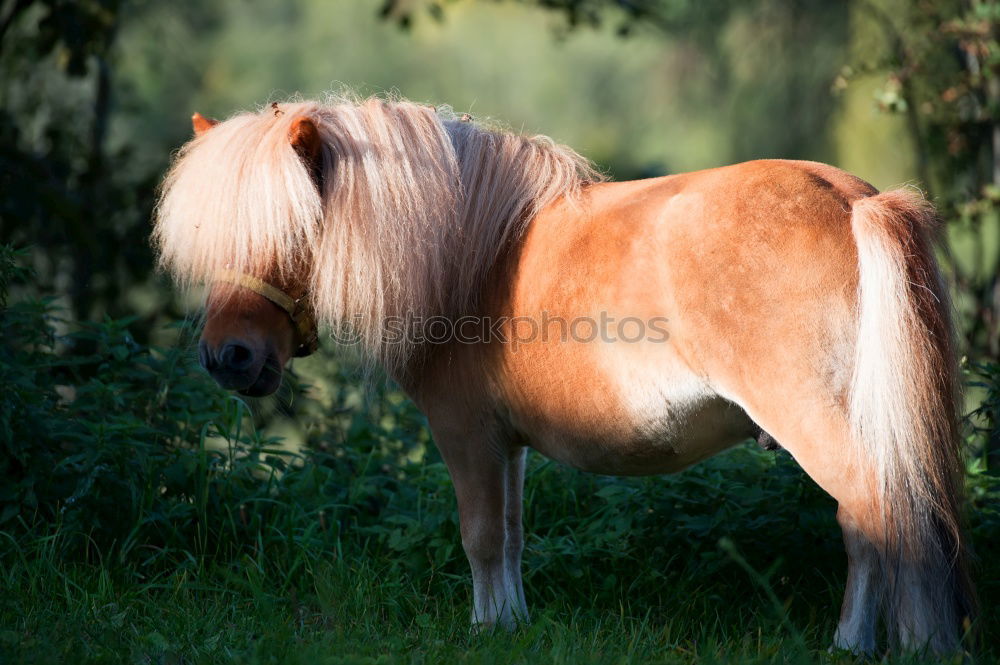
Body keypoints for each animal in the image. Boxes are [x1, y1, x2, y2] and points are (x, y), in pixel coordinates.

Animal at [152, 96, 972, 652]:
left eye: (289, 227)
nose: (228, 358)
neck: (469, 253)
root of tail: (855, 200)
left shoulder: (465, 434)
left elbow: (480, 535)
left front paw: (484, 630)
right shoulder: (505, 444)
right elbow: (512, 535)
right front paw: (511, 625)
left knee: (878, 518)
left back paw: (865, 644)